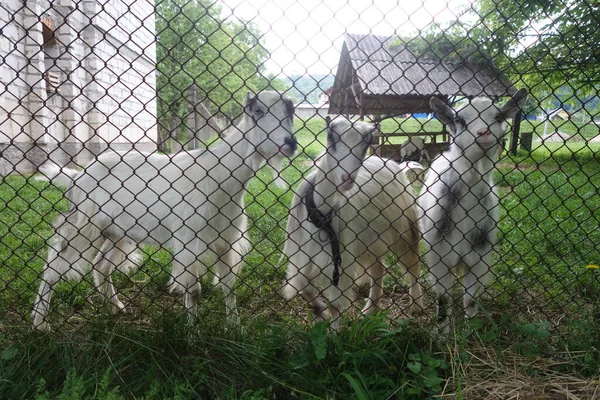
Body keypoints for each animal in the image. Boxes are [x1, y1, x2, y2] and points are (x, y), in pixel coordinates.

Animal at [32, 91, 296, 332]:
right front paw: (192, 333)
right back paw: (40, 323)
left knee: (100, 265)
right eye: (258, 111)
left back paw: (116, 308)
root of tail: (77, 176)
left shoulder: (226, 240)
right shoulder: (189, 240)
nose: (291, 143)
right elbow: (194, 291)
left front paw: (235, 328)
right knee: (53, 266)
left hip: (116, 231)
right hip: (84, 223)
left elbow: (229, 287)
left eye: (290, 111)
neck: (219, 175)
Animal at [282, 114, 420, 330]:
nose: (347, 178)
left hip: (403, 230)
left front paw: (333, 332)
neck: (322, 217)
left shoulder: (340, 262)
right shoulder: (303, 258)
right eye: (331, 136)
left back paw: (416, 307)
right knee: (378, 269)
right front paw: (320, 311)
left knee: (413, 266)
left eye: (367, 142)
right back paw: (369, 311)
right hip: (370, 241)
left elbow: (336, 304)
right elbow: (304, 287)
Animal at [420, 88, 528, 328]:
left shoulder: (478, 257)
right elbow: (443, 297)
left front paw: (471, 329)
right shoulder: (441, 255)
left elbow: (469, 299)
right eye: (459, 120)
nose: (483, 132)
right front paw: (442, 330)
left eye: (498, 116)